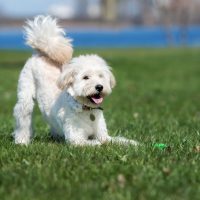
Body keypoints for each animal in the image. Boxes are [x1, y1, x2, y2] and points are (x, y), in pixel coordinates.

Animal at [12, 15, 138, 146]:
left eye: (101, 76)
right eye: (85, 77)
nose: (99, 87)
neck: (87, 109)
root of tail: (39, 53)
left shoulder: (103, 135)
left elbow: (115, 140)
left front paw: (132, 143)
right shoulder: (76, 139)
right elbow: (96, 142)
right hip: (26, 96)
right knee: (23, 116)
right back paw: (22, 140)